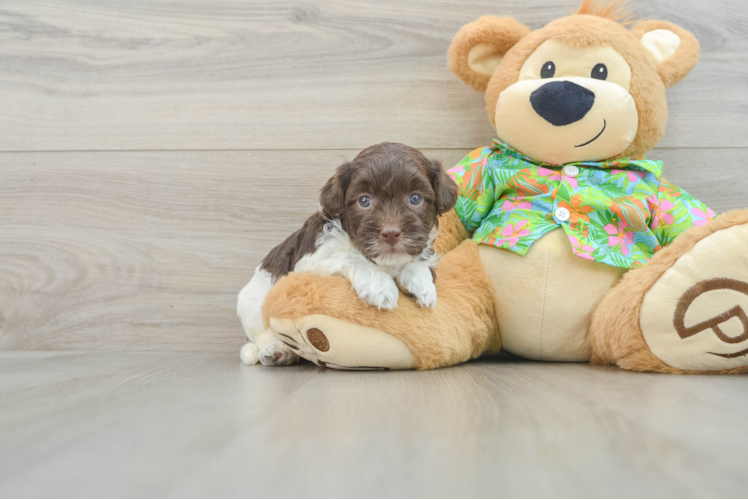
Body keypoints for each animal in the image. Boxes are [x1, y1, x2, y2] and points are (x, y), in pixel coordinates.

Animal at [237, 143, 456, 366]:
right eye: (364, 200)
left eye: (415, 198)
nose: (391, 233)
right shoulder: (310, 259)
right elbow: (351, 256)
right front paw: (379, 284)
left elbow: (420, 263)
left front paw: (421, 284)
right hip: (251, 303)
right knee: (262, 335)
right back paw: (277, 351)